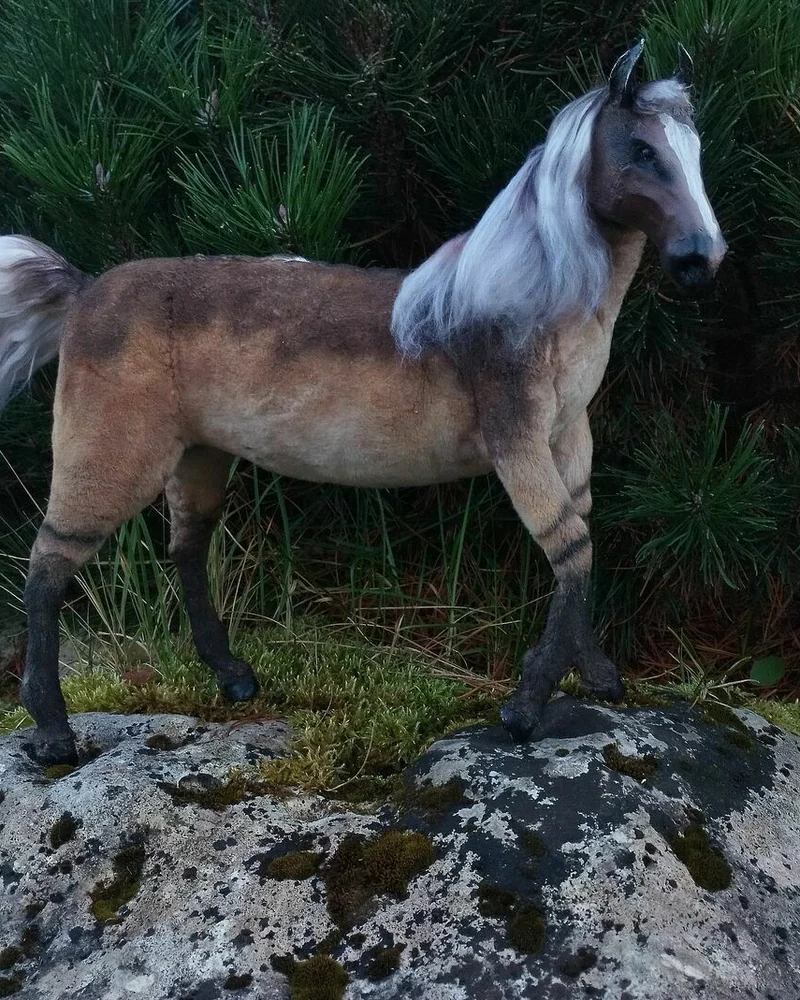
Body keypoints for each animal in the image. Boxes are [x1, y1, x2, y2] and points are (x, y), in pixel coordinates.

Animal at [0, 41, 725, 766]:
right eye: (641, 149)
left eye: (694, 149)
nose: (703, 258)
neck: (528, 301)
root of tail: (83, 290)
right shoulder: (517, 440)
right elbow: (570, 546)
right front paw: (525, 710)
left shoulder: (568, 438)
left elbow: (580, 543)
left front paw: (599, 678)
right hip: (112, 456)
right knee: (49, 565)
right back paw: (53, 732)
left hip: (198, 455)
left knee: (186, 548)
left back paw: (235, 680)